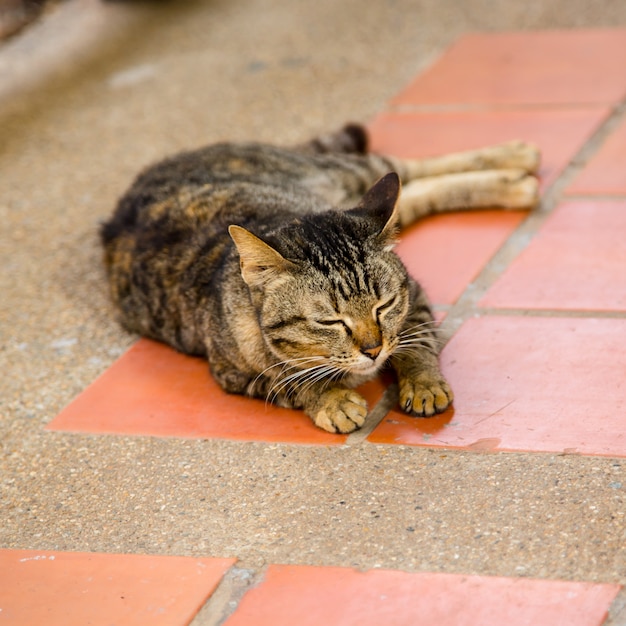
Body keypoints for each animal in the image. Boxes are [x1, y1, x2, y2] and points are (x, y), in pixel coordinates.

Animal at [101, 124, 536, 432]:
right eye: (329, 321)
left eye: (384, 305)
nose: (373, 349)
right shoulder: (233, 374)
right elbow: (288, 380)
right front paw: (331, 399)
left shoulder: (414, 294)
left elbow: (417, 340)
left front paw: (423, 382)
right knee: (414, 187)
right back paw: (516, 182)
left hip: (354, 178)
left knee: (405, 166)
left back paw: (516, 161)